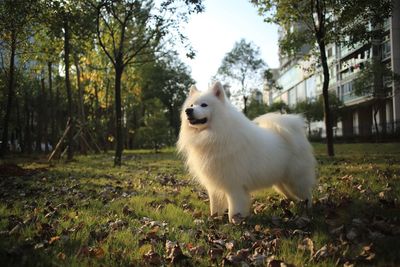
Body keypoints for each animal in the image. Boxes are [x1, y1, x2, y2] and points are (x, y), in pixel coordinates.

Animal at [178, 82, 316, 224]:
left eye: (204, 105)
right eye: (191, 105)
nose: (188, 111)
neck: (214, 135)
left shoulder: (234, 186)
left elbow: (234, 209)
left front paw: (235, 222)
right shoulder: (214, 185)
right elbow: (215, 206)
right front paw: (214, 218)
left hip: (296, 179)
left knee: (307, 194)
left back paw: (308, 210)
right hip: (280, 182)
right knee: (292, 195)